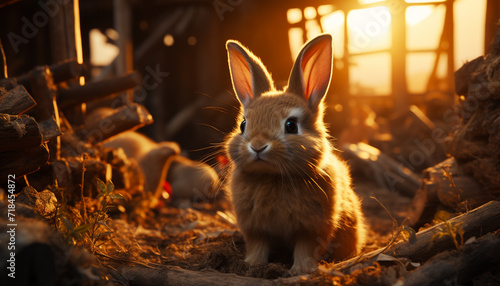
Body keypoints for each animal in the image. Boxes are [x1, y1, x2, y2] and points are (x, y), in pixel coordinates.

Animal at [225, 34, 366, 274]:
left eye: (291, 125)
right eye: (243, 125)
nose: (258, 146)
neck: (272, 177)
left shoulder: (312, 228)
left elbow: (305, 248)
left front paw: (300, 270)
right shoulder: (254, 228)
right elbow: (258, 245)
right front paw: (252, 265)